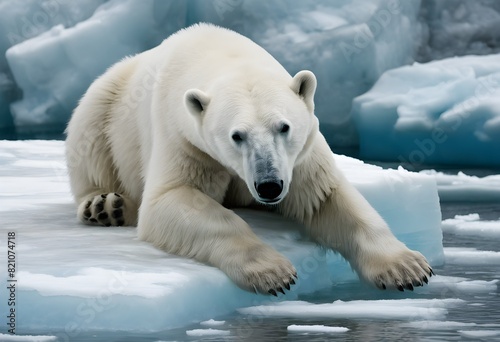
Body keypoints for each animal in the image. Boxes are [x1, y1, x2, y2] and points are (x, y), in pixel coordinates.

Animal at [65, 23, 434, 296]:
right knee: (90, 139)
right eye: (236, 135)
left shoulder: (300, 158)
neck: (221, 52)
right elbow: (171, 200)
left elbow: (326, 198)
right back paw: (105, 206)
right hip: (107, 101)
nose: (269, 186)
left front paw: (407, 267)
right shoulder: (184, 139)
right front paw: (273, 272)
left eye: (284, 127)